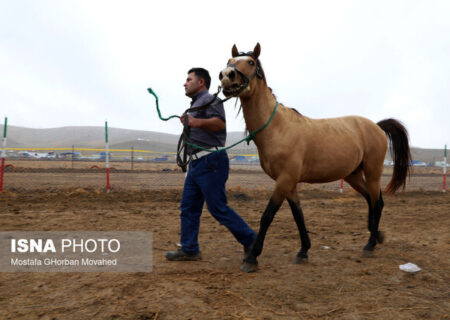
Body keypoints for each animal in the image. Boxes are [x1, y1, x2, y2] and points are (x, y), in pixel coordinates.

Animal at [218, 42, 412, 272]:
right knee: (370, 200)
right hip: (353, 175)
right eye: (230, 61)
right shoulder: (289, 183)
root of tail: (376, 126)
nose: (226, 75)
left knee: (377, 202)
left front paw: (252, 257)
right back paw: (376, 235)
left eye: (250, 62)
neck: (277, 128)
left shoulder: (284, 180)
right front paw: (303, 251)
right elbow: (298, 215)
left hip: (373, 172)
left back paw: (370, 245)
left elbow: (267, 216)